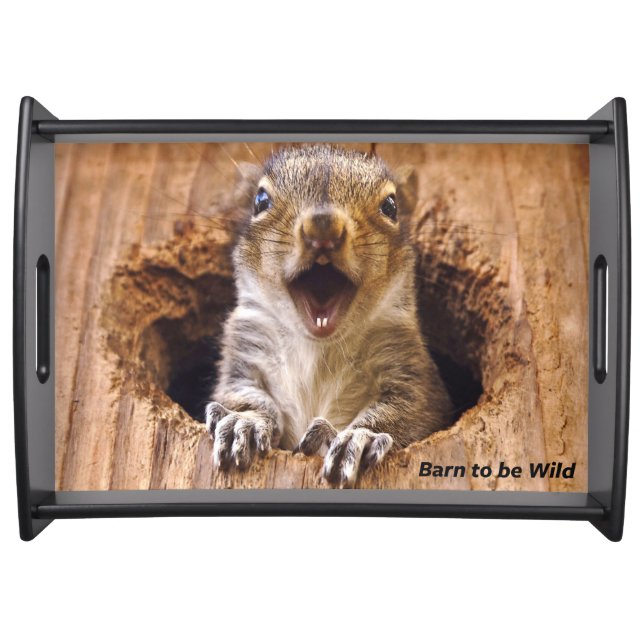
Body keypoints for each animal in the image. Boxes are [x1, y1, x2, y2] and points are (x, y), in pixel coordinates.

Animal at [205, 144, 452, 488]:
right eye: (260, 201)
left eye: (391, 206)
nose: (323, 225)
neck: (318, 346)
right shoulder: (244, 349)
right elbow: (240, 394)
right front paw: (244, 422)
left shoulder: (408, 367)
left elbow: (408, 410)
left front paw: (360, 438)